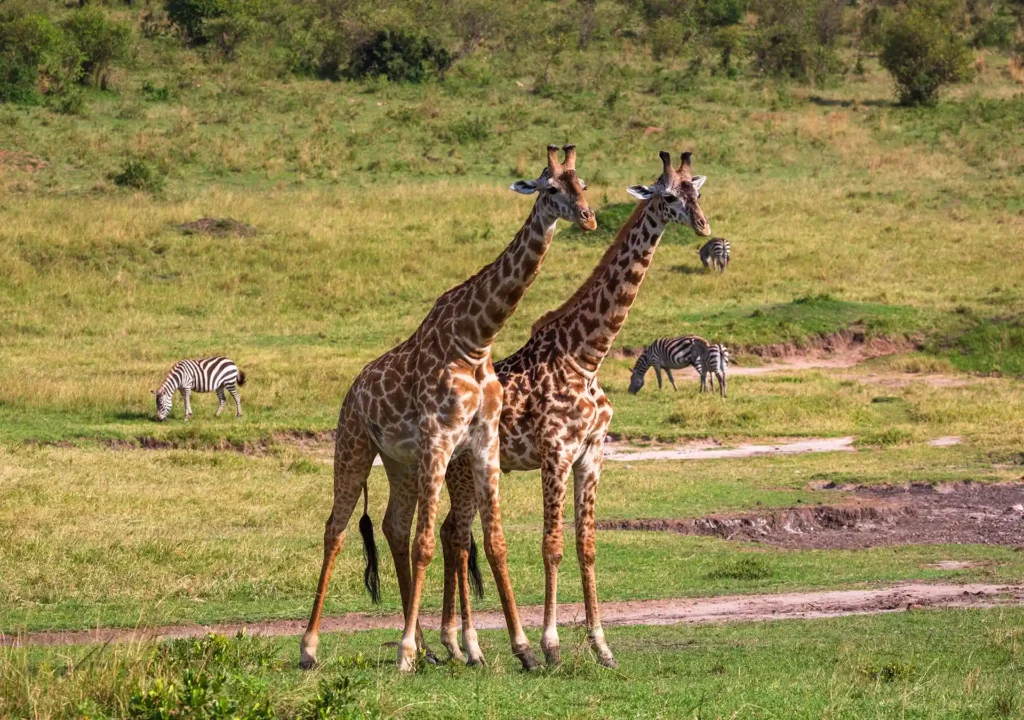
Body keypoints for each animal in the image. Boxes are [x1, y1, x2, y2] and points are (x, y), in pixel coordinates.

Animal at [299, 145, 596, 673]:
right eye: (550, 188)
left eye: (582, 184)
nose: (587, 217)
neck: (476, 339)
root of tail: (352, 391)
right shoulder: (440, 438)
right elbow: (426, 544)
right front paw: (404, 653)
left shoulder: (483, 442)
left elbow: (494, 542)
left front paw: (523, 648)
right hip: (353, 445)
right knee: (337, 528)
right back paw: (311, 647)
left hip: (399, 461)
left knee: (394, 526)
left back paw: (424, 646)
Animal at [437, 151, 710, 668]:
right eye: (668, 196)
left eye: (697, 192)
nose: (704, 225)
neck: (587, 355)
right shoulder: (556, 453)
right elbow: (552, 546)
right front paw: (551, 646)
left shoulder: (592, 454)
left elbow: (587, 546)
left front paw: (602, 646)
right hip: (462, 468)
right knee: (458, 537)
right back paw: (467, 646)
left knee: (450, 534)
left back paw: (456, 646)